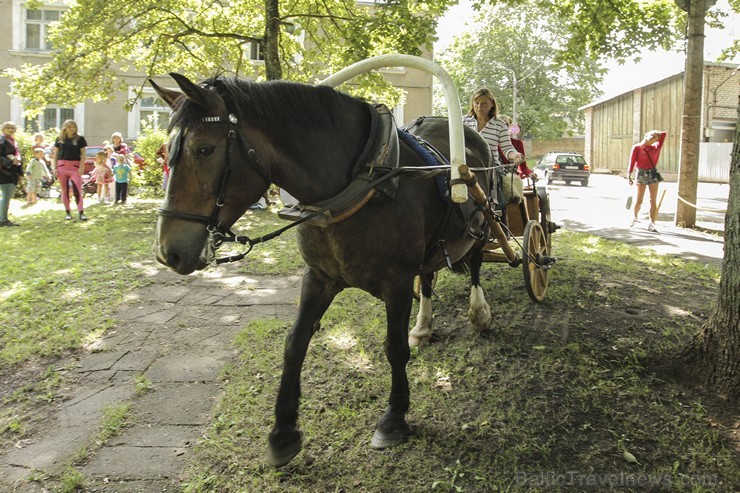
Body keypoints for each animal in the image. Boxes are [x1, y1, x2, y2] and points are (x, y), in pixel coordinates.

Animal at [149, 73, 498, 466]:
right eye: (166, 150)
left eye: (204, 149)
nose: (167, 252)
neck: (365, 180)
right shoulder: (319, 278)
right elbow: (295, 343)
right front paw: (283, 431)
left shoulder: (396, 282)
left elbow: (394, 348)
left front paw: (394, 418)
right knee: (427, 277)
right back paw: (423, 326)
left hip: (482, 224)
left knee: (476, 264)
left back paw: (480, 312)